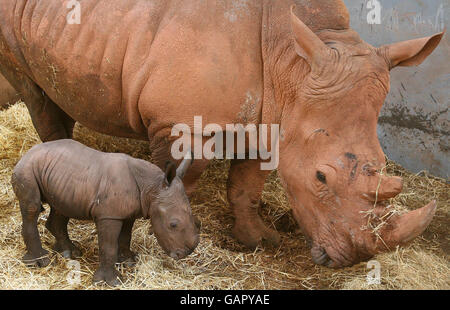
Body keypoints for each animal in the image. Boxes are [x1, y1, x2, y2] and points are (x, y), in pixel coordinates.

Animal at [11, 140, 198, 286]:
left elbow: (125, 237)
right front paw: (112, 281)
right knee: (32, 208)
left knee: (60, 208)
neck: (152, 186)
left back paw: (69, 253)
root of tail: (26, 153)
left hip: (57, 176)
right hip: (27, 169)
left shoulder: (128, 213)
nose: (186, 253)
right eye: (173, 224)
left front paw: (129, 261)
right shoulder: (108, 215)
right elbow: (108, 245)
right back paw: (40, 261)